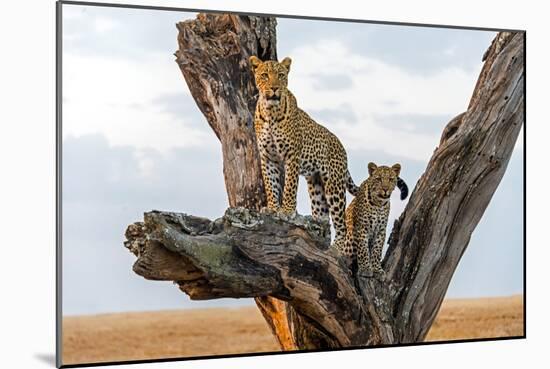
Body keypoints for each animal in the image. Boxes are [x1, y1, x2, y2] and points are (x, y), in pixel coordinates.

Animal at [250, 55, 362, 250]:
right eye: (264, 75)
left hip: (334, 186)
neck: (270, 112)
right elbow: (271, 184)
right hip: (316, 186)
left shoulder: (291, 156)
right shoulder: (267, 157)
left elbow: (289, 186)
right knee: (324, 218)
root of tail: (342, 148)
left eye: (281, 75)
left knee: (341, 225)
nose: (274, 88)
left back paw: (336, 249)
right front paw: (272, 208)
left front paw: (287, 211)